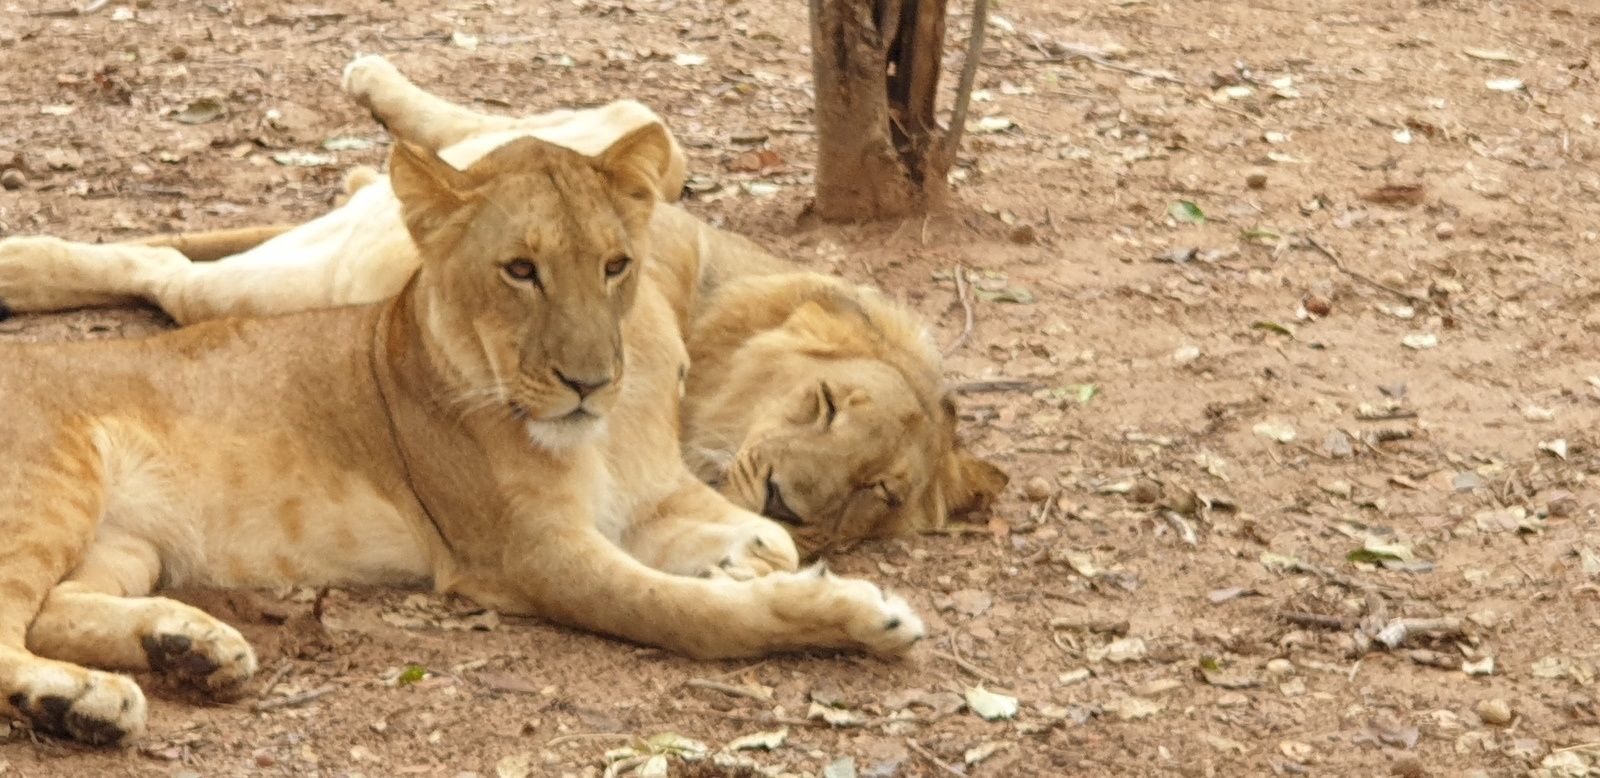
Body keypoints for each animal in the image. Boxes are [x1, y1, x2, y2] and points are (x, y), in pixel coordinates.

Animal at [0, 55, 1007, 559]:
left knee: (181, 262)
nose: (789, 505)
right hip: (296, 264)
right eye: (826, 404)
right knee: (170, 261)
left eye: (879, 492)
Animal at [0, 127, 930, 747]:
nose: (589, 381)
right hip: (51, 488)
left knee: (61, 608)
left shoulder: (646, 499)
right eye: (520, 270)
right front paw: (852, 613)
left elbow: (755, 536)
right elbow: (686, 616)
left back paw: (179, 653)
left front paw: (751, 558)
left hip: (128, 544)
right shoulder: (528, 556)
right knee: (15, 626)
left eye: (615, 265)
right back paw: (75, 699)